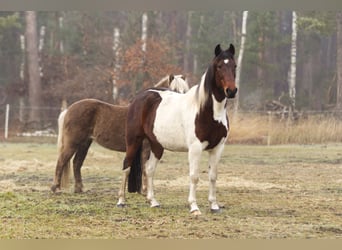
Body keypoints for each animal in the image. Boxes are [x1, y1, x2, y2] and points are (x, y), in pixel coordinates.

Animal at [50, 74, 190, 193]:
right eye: (174, 90)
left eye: (185, 91)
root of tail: (69, 109)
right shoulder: (145, 147)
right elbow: (145, 167)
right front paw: (145, 190)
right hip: (73, 143)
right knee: (61, 161)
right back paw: (56, 188)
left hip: (85, 143)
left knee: (77, 163)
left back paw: (79, 189)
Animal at [117, 43, 238, 215]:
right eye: (219, 66)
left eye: (234, 66)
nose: (231, 91)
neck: (207, 111)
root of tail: (140, 96)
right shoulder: (195, 148)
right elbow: (194, 176)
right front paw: (194, 207)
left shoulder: (218, 148)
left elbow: (213, 176)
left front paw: (214, 205)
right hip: (134, 141)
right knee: (126, 166)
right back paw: (121, 201)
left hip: (156, 145)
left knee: (149, 169)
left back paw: (153, 201)